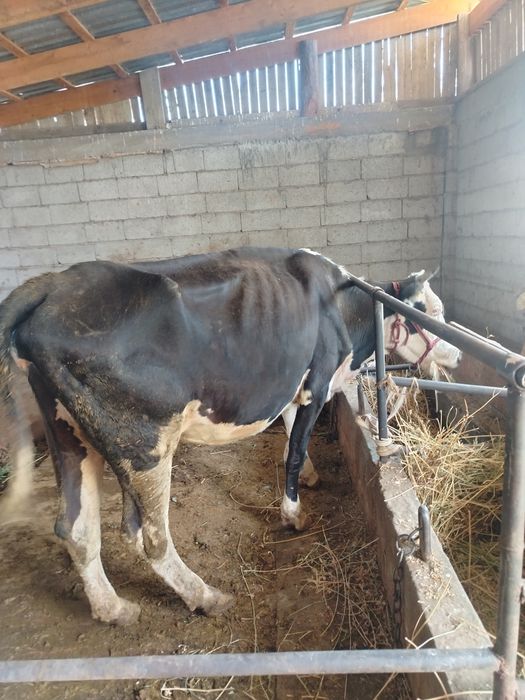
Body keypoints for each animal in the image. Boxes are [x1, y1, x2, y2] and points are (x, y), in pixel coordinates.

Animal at [0, 247, 460, 625]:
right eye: (427, 312)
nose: (457, 353)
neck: (346, 310)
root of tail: (54, 284)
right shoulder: (318, 381)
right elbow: (295, 448)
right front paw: (293, 513)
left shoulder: (293, 384)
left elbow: (291, 432)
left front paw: (310, 476)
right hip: (145, 443)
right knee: (149, 536)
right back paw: (205, 596)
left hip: (67, 433)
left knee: (75, 528)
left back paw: (113, 608)